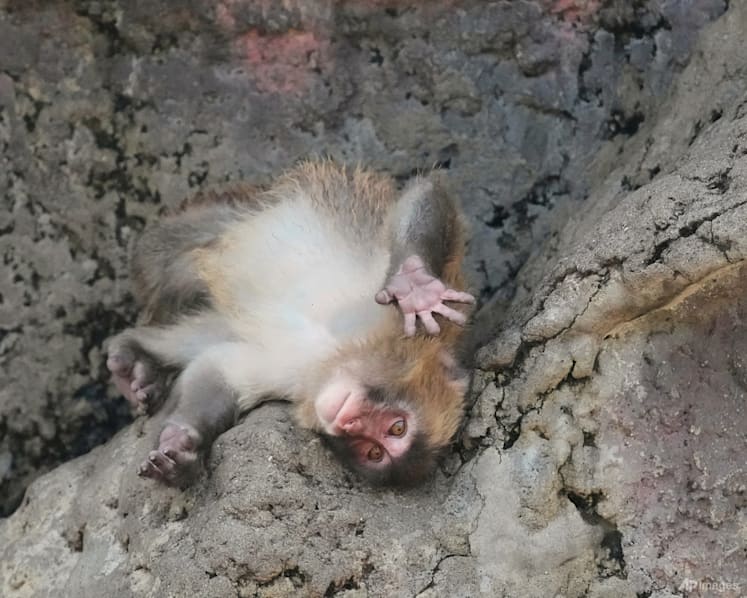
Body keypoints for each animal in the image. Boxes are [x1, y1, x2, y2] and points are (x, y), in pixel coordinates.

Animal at [105, 161, 475, 486]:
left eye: (374, 451)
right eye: (397, 427)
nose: (350, 423)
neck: (338, 352)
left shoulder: (295, 383)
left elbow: (218, 370)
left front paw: (182, 446)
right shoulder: (410, 326)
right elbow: (425, 192)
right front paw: (414, 285)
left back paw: (140, 360)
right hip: (233, 213)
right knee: (166, 255)